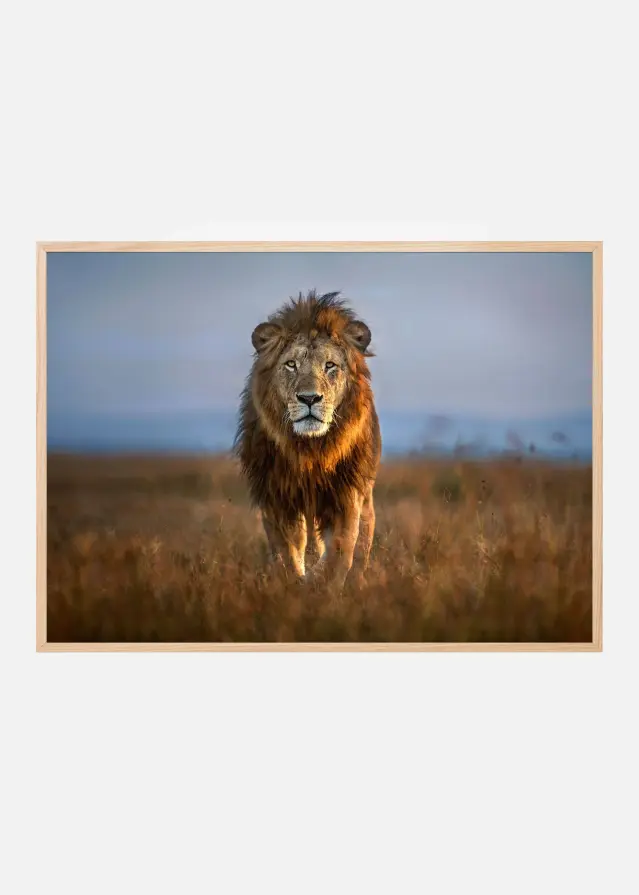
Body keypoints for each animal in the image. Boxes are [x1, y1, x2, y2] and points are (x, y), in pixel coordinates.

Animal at [234, 290, 382, 589]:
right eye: (291, 364)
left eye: (330, 366)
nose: (310, 398)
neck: (310, 450)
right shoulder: (276, 496)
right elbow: (287, 551)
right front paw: (294, 584)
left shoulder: (346, 494)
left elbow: (341, 549)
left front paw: (322, 585)